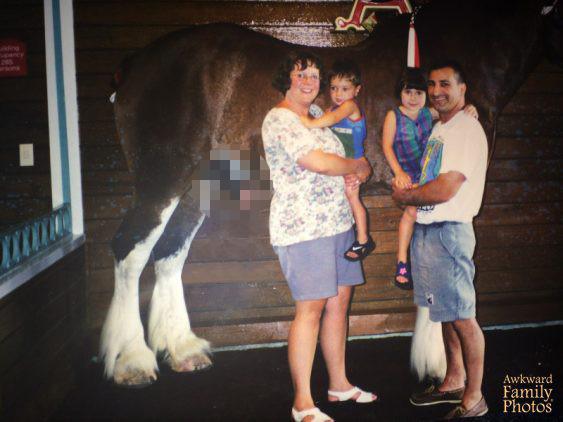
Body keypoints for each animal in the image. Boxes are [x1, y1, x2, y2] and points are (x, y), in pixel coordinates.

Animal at [100, 0, 560, 386]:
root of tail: (137, 62)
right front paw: (443, 367)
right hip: (164, 178)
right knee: (131, 250)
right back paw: (132, 361)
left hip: (197, 187)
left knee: (169, 254)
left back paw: (183, 350)